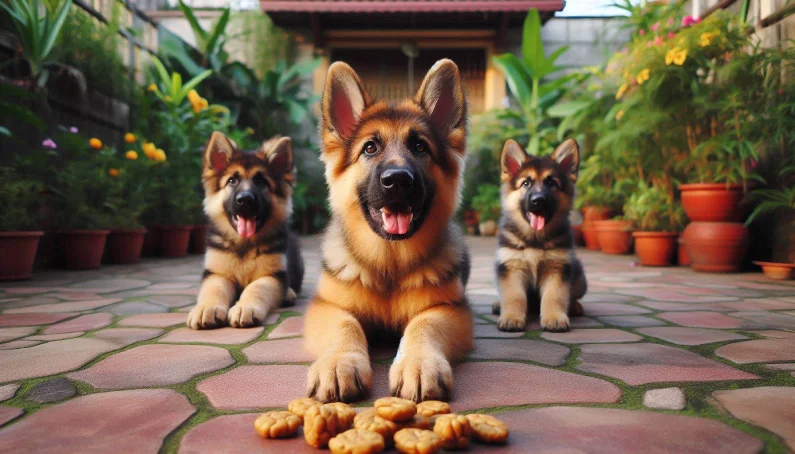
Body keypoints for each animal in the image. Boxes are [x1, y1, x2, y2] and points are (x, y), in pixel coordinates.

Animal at [187, 131, 304, 330]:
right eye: (232, 181)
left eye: (261, 181)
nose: (245, 200)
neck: (244, 245)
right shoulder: (217, 273)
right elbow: (214, 288)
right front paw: (207, 308)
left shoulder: (271, 275)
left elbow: (256, 288)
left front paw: (244, 308)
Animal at [306, 58, 472, 402]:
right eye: (370, 148)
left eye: (420, 147)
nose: (397, 180)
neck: (389, 266)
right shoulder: (328, 307)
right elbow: (345, 325)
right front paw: (338, 363)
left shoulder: (449, 309)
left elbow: (424, 325)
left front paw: (418, 364)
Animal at [494, 140, 588, 332]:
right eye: (526, 183)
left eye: (551, 182)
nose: (538, 200)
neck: (534, 240)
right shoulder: (511, 267)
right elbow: (514, 296)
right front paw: (511, 318)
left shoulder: (557, 268)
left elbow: (554, 296)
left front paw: (554, 318)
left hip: (580, 277)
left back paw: (574, 306)